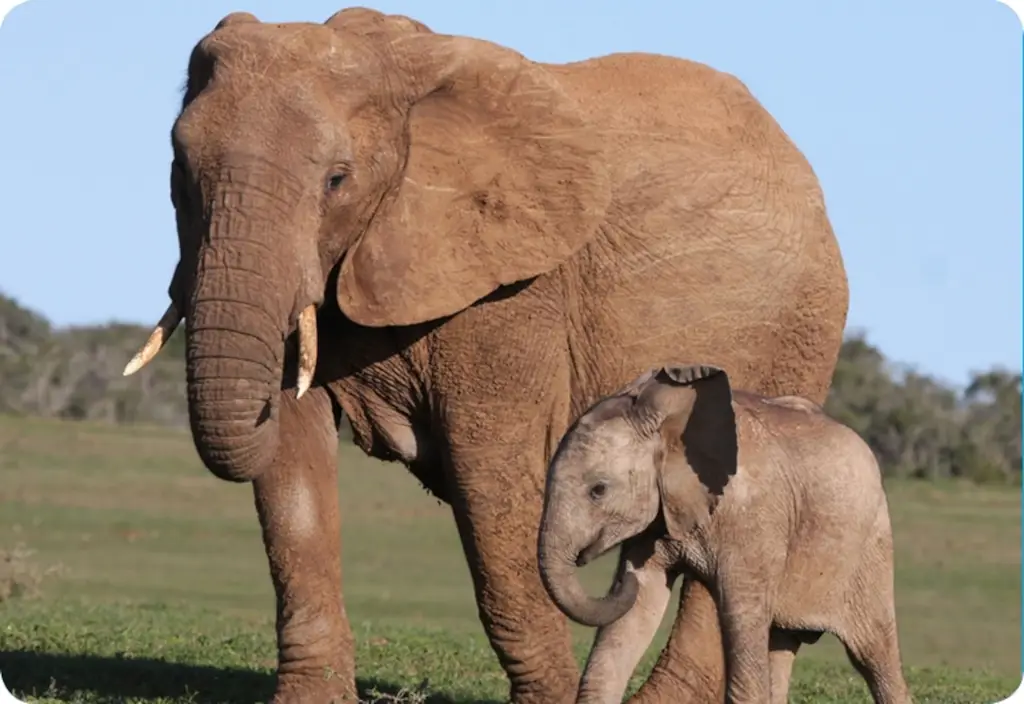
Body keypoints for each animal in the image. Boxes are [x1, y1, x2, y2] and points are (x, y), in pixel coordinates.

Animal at [125, 6, 847, 704]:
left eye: (337, 180)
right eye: (178, 173)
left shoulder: (513, 289)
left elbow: (491, 480)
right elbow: (292, 470)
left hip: (799, 332)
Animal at [540, 366, 909, 699]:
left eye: (598, 490)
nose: (620, 579)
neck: (669, 421)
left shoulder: (751, 519)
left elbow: (741, 621)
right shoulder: (658, 517)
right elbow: (637, 612)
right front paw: (637, 583)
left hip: (872, 548)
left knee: (874, 655)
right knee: (781, 644)